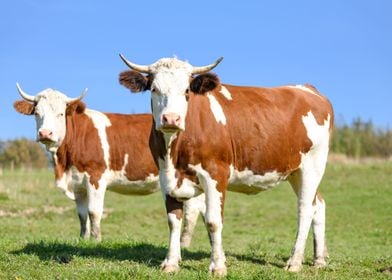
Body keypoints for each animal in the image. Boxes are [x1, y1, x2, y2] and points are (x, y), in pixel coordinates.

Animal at [13, 83, 205, 243]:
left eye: (60, 114)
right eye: (37, 113)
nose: (45, 133)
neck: (64, 163)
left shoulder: (95, 177)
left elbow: (94, 212)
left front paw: (96, 240)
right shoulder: (78, 183)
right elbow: (82, 214)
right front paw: (83, 238)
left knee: (192, 211)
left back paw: (184, 243)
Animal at [118, 55, 334, 276]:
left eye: (186, 91)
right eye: (154, 89)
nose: (171, 119)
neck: (175, 151)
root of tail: (307, 89)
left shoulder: (216, 173)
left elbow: (213, 221)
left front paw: (218, 266)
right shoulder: (165, 176)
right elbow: (173, 220)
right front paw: (171, 263)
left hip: (313, 166)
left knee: (305, 209)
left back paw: (295, 261)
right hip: (295, 172)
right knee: (318, 204)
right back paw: (319, 259)